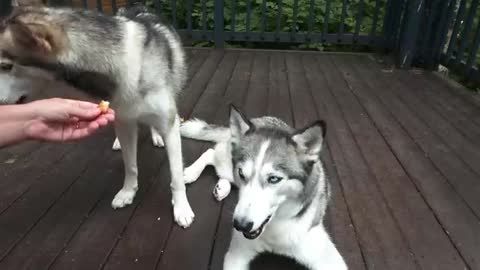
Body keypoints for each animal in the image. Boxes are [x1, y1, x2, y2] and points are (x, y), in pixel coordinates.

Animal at [0, 0, 195, 228]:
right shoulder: (124, 120)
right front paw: (128, 192)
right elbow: (130, 165)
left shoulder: (169, 124)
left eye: (6, 66)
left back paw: (156, 135)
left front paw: (181, 207)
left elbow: (176, 176)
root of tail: (137, 6)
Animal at [179, 105, 344, 270]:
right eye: (242, 173)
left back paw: (222, 188)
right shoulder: (236, 255)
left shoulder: (329, 260)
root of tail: (259, 119)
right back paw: (190, 173)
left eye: (274, 179)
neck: (274, 228)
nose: (240, 225)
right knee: (211, 153)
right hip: (227, 165)